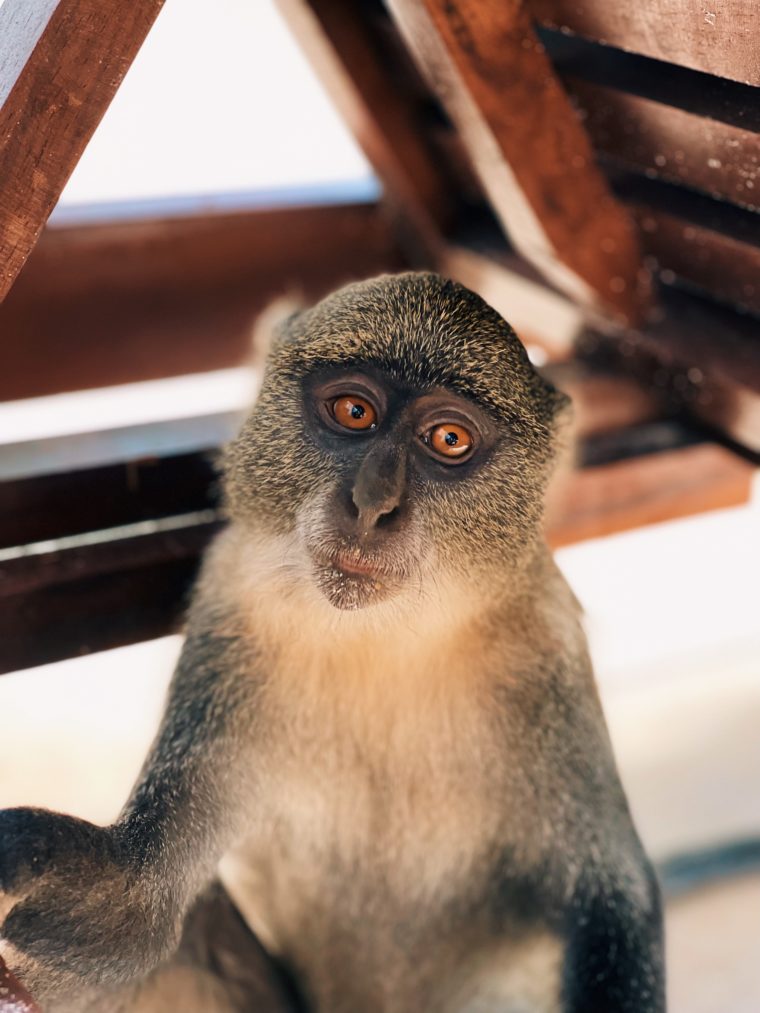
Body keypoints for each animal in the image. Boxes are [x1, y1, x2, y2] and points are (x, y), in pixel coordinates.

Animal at [0, 271, 664, 1013]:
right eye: (353, 411)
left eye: (450, 438)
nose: (373, 503)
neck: (385, 639)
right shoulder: (232, 609)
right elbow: (133, 910)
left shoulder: (545, 649)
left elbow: (612, 896)